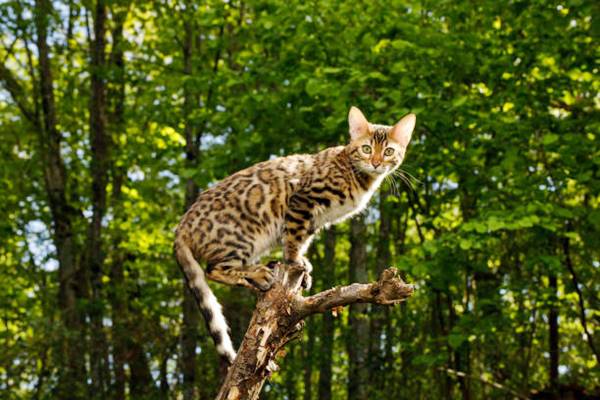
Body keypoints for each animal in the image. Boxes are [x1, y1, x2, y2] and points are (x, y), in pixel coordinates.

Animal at [176, 106, 414, 362]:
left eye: (389, 151)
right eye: (366, 148)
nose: (376, 163)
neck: (357, 174)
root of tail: (181, 225)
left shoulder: (315, 220)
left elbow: (302, 239)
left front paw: (304, 265)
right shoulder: (303, 200)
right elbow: (293, 239)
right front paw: (294, 261)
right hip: (242, 238)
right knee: (213, 270)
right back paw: (259, 273)